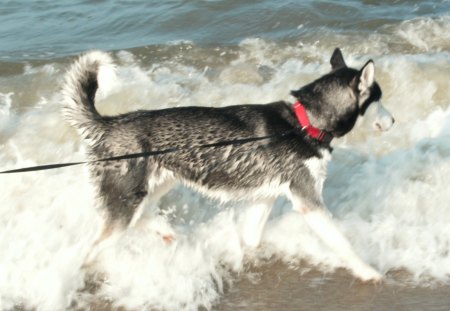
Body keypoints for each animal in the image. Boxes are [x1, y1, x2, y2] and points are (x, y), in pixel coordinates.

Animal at [62, 48, 394, 282]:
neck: (304, 123)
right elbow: (343, 243)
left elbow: (251, 238)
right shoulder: (308, 202)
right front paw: (367, 271)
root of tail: (110, 123)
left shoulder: (266, 197)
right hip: (125, 201)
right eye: (378, 98)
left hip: (153, 187)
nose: (393, 120)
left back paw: (165, 231)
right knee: (94, 247)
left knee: (140, 217)